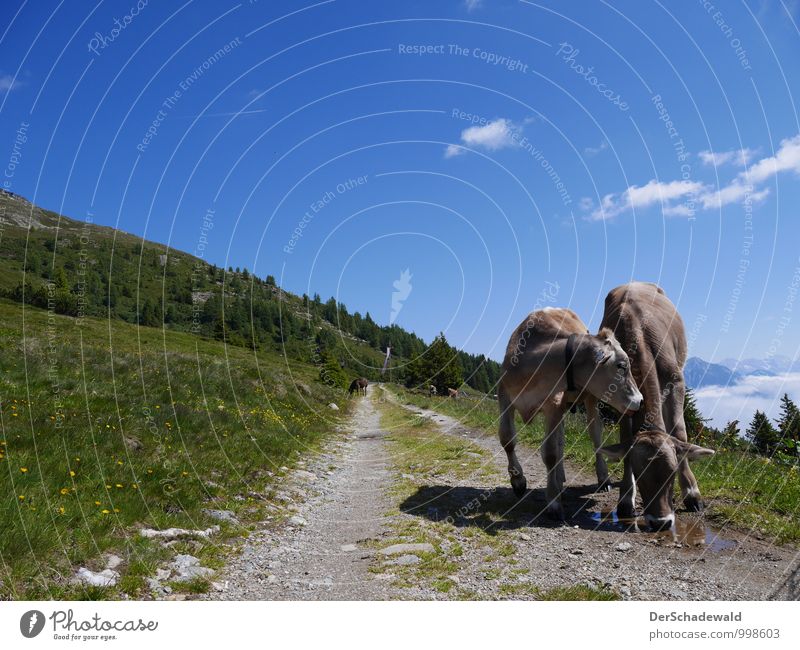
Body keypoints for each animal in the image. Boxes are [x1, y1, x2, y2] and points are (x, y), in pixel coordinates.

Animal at [500, 306, 644, 520]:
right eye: (621, 365)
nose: (640, 400)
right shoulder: (504, 397)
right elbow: (507, 439)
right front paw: (518, 482)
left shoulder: (553, 404)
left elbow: (550, 452)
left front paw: (553, 502)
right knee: (560, 440)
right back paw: (559, 478)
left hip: (590, 398)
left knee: (595, 434)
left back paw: (603, 478)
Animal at [596, 280, 716, 528]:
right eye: (640, 473)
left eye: (672, 473)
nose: (661, 522)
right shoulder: (623, 398)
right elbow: (625, 439)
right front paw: (626, 498)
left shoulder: (676, 380)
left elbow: (680, 433)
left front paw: (692, 493)